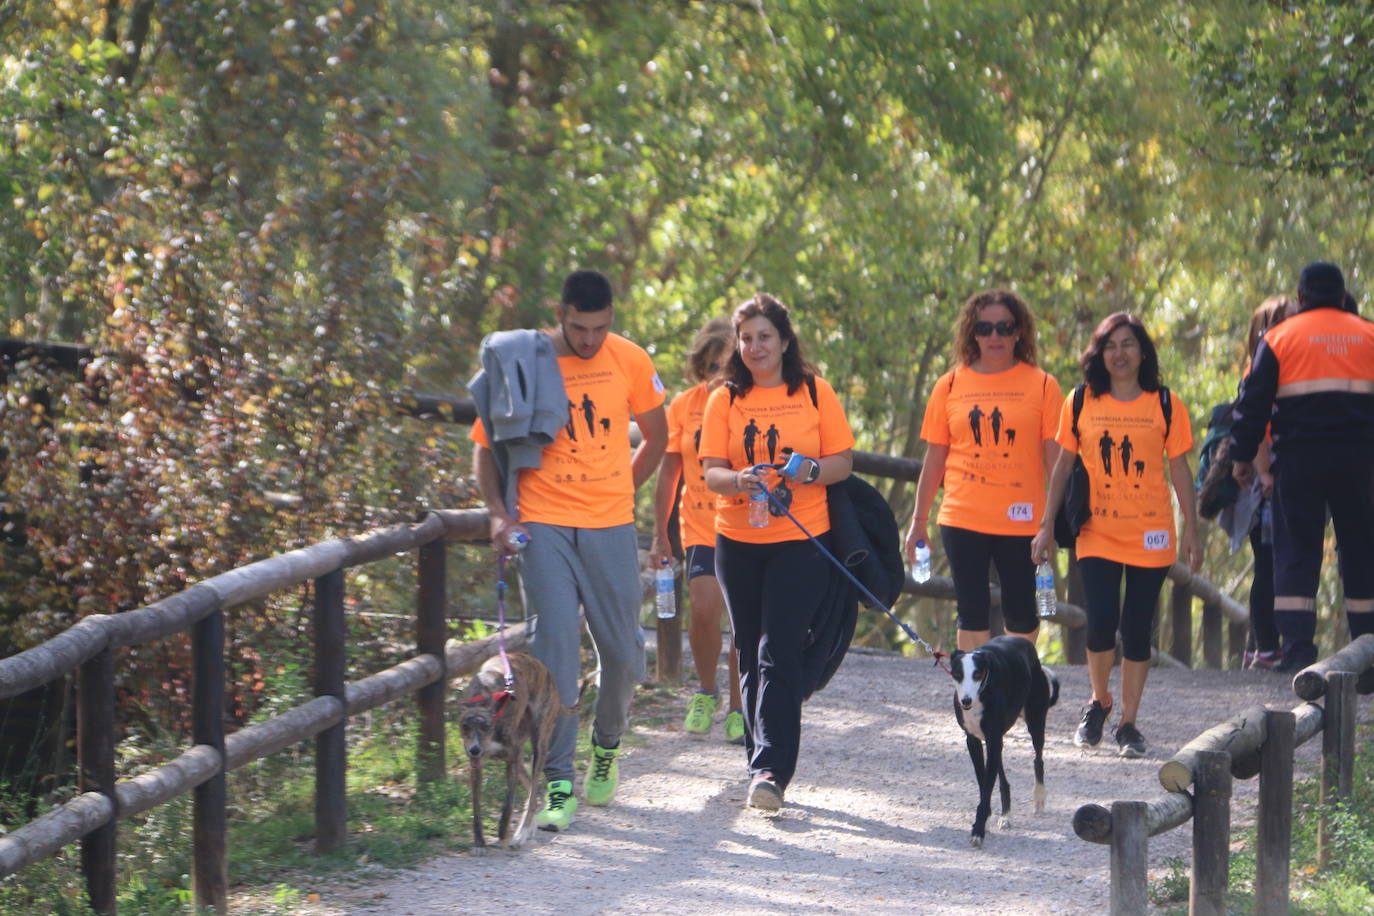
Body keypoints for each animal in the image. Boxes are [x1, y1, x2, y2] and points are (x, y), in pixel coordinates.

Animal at [950, 634, 1055, 851]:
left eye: (977, 674)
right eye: (957, 674)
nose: (965, 701)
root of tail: (1023, 640)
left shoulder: (993, 738)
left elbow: (986, 786)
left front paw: (978, 831)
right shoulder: (974, 740)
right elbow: (983, 782)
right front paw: (985, 819)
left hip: (1035, 721)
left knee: (1038, 759)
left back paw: (1039, 797)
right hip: (995, 741)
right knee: (1002, 776)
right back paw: (1005, 814)